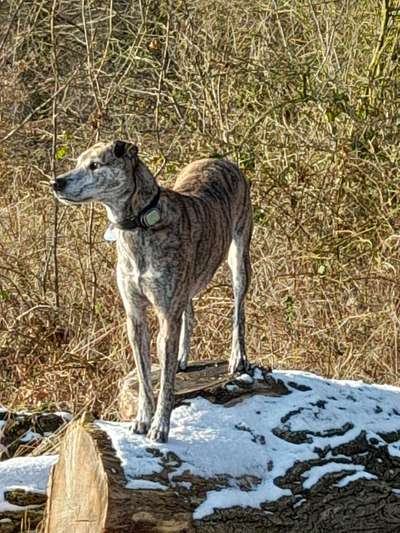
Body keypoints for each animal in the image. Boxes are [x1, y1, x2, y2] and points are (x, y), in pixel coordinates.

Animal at [53, 140, 253, 440]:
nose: (56, 182)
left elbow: (166, 383)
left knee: (238, 312)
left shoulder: (166, 317)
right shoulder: (135, 318)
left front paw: (160, 426)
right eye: (78, 162)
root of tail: (220, 160)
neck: (140, 225)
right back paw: (183, 357)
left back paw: (236, 357)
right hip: (187, 284)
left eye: (95, 165)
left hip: (238, 259)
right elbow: (145, 377)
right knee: (189, 312)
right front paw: (141, 420)